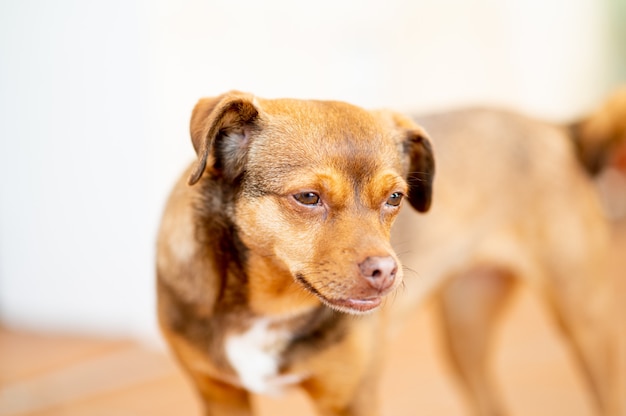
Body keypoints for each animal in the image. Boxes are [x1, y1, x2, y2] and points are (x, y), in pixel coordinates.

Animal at [157, 89, 620, 414]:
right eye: (307, 197)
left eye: (396, 197)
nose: (386, 271)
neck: (268, 306)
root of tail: (557, 129)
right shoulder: (220, 396)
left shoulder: (351, 399)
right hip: (465, 333)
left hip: (587, 324)